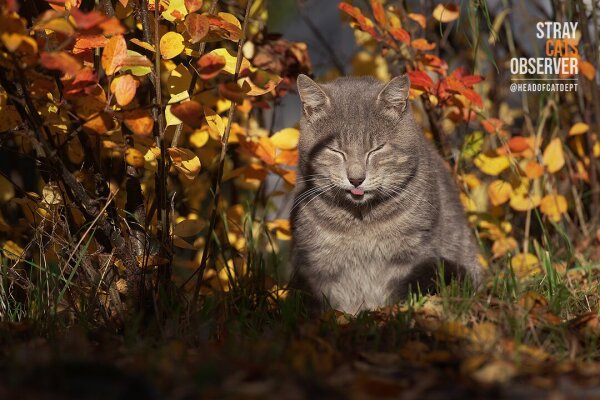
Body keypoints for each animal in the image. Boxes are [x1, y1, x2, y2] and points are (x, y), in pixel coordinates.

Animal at [290, 73, 482, 314]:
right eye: (335, 151)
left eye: (376, 149)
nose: (356, 179)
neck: (361, 223)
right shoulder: (318, 265)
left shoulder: (412, 259)